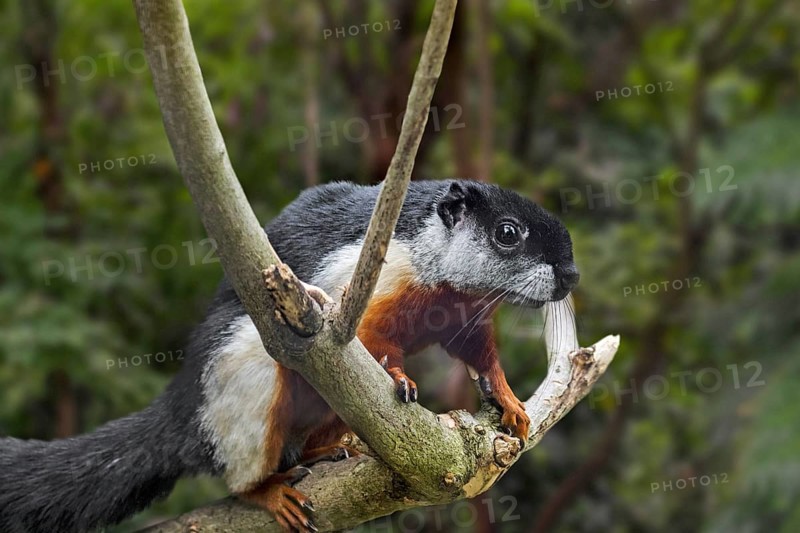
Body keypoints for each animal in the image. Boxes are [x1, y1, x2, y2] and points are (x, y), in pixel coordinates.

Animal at [0, 179, 579, 532]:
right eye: (507, 233)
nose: (571, 275)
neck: (438, 272)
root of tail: (180, 415)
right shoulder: (360, 289)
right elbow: (373, 341)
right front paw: (399, 376)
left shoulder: (465, 313)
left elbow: (478, 355)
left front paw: (510, 401)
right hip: (249, 385)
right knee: (242, 470)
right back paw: (269, 492)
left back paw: (331, 449)